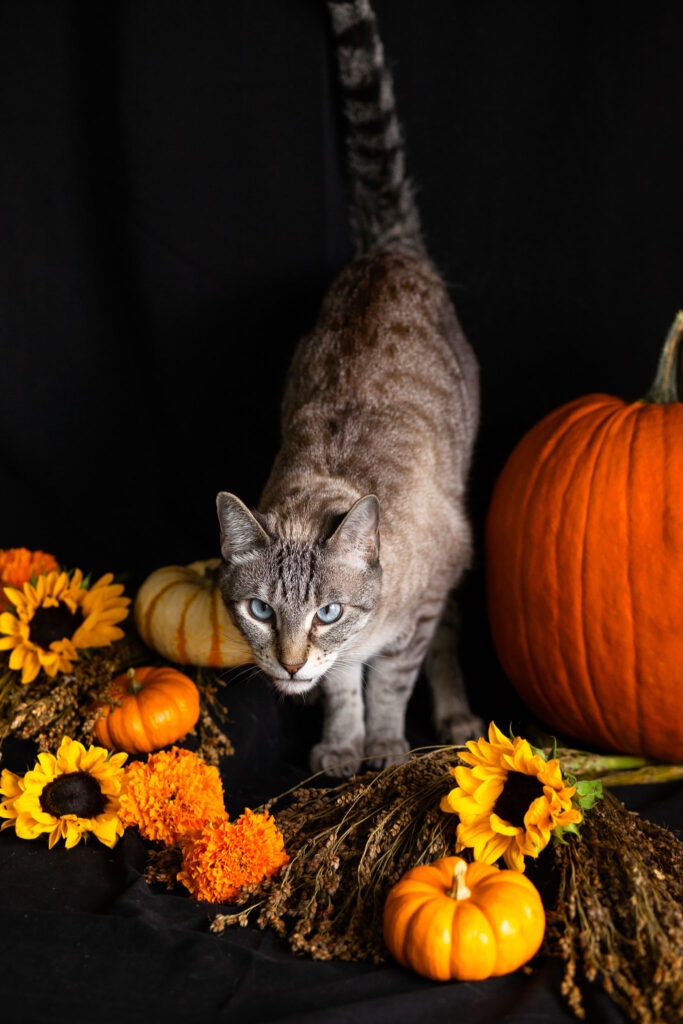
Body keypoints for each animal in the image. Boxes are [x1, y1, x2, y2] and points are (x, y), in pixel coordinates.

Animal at [216, 0, 483, 770]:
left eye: (327, 612)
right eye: (261, 611)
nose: (288, 663)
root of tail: (387, 252)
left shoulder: (416, 611)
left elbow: (390, 679)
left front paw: (385, 747)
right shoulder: (329, 667)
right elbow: (340, 689)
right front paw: (340, 747)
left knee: (451, 636)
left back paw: (454, 716)